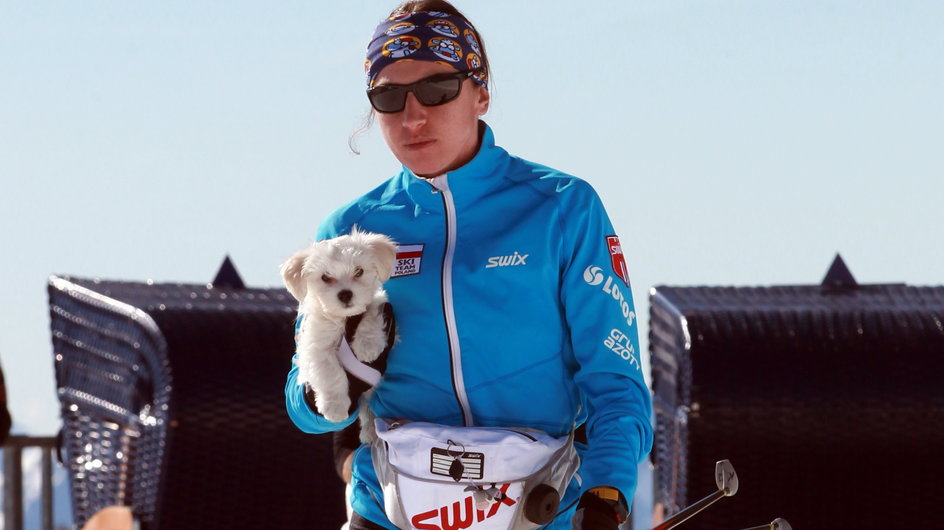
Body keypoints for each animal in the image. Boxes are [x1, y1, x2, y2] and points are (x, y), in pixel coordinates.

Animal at [280, 227, 398, 424]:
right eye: (325, 277)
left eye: (359, 271)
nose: (345, 294)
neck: (343, 319)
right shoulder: (315, 346)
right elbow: (330, 373)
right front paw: (335, 407)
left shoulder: (378, 302)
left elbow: (372, 311)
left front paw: (368, 346)